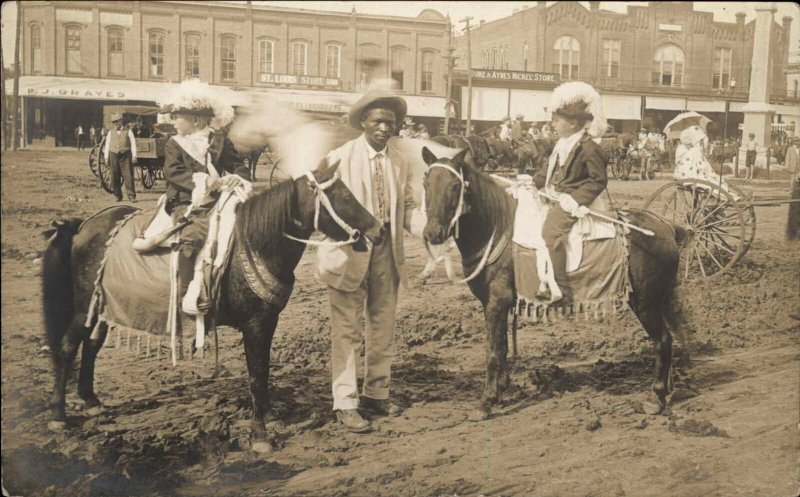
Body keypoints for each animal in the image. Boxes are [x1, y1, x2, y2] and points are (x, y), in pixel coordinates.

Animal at [42, 159, 382, 446]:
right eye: (344, 196)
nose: (378, 230)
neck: (256, 241)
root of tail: (83, 225)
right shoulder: (255, 325)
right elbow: (256, 376)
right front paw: (260, 436)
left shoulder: (268, 321)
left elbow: (262, 371)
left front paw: (270, 416)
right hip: (83, 308)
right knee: (68, 346)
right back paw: (59, 416)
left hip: (102, 309)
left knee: (92, 344)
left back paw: (90, 400)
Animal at [422, 146, 692, 418]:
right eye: (425, 183)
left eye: (455, 186)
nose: (433, 233)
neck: (498, 228)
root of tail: (668, 227)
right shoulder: (498, 304)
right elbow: (502, 346)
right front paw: (500, 391)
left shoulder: (497, 302)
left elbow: (493, 352)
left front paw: (486, 401)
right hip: (658, 300)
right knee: (669, 338)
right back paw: (668, 390)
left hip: (645, 303)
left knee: (662, 340)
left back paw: (656, 396)